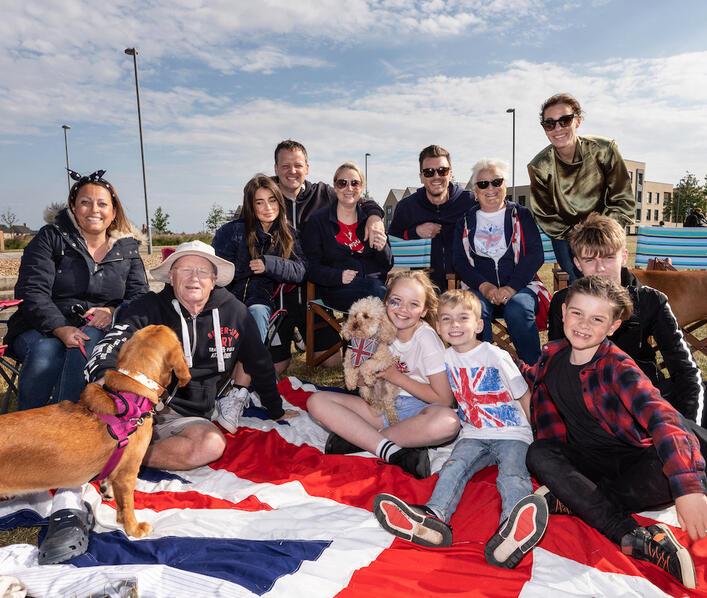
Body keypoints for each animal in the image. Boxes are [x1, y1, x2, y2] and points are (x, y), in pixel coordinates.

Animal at [344, 296, 404, 426]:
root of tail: (379, 398)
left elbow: (367, 364)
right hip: (364, 390)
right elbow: (349, 368)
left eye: (366, 316)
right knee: (371, 399)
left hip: (388, 390)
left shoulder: (384, 360)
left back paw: (393, 421)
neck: (363, 341)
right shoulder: (349, 356)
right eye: (354, 315)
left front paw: (369, 378)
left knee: (389, 407)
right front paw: (350, 383)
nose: (354, 325)